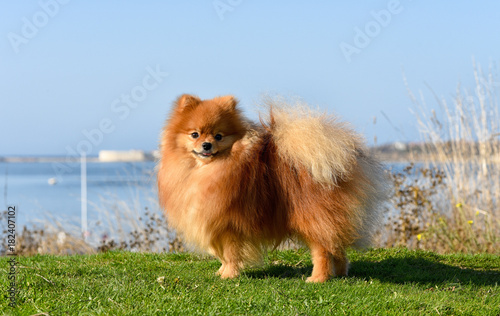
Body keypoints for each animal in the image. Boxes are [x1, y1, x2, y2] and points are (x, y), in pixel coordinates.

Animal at [156, 93, 386, 282]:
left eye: (219, 136)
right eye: (194, 134)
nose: (206, 145)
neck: (207, 171)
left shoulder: (229, 224)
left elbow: (230, 253)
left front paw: (229, 275)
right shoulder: (215, 221)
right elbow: (221, 254)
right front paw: (221, 271)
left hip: (312, 218)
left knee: (322, 250)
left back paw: (318, 278)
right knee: (337, 248)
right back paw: (340, 273)